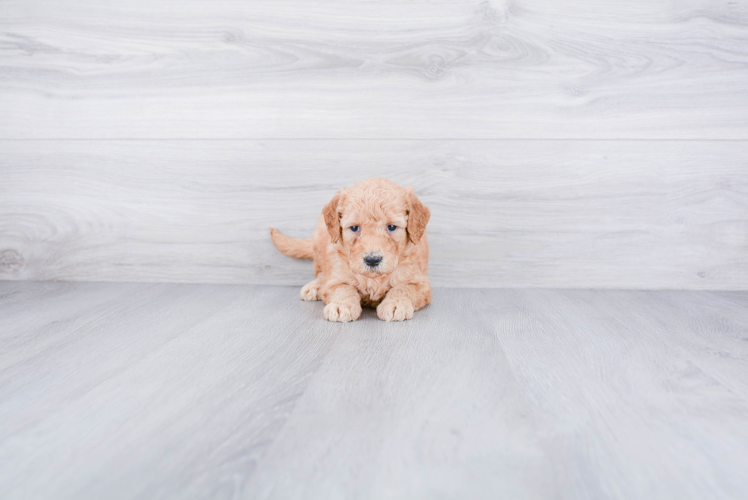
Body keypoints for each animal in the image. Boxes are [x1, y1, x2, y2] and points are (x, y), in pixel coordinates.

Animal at [268, 178, 432, 322]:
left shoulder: (420, 283)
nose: (372, 260)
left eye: (392, 227)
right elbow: (343, 289)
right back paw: (314, 287)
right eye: (354, 228)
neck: (373, 279)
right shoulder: (336, 278)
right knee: (321, 273)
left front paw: (396, 304)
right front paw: (341, 305)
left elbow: (403, 288)